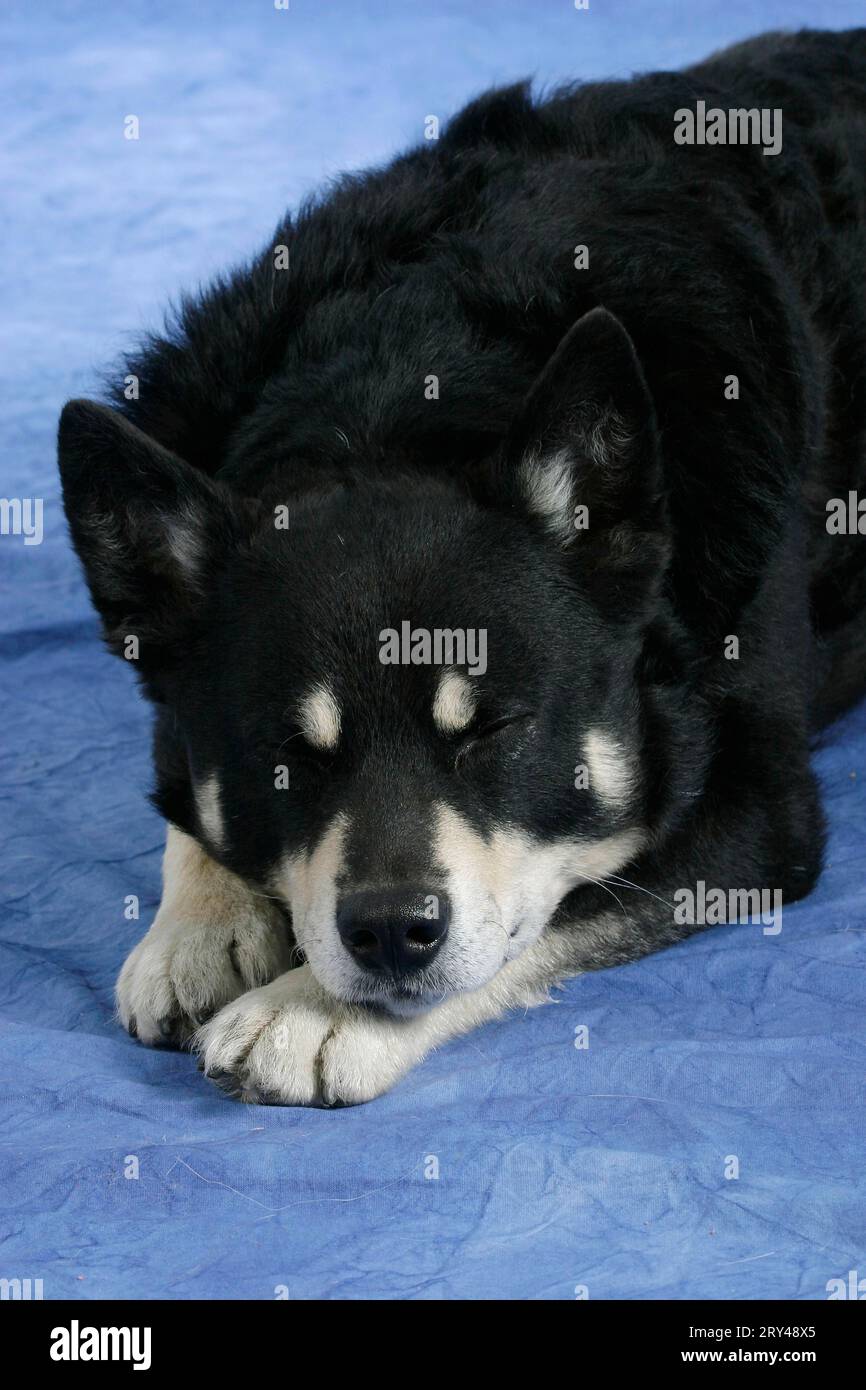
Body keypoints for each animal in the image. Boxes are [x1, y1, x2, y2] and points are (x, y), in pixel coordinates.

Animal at [57, 27, 861, 1100]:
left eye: (497, 730)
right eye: (283, 756)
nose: (393, 934)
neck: (403, 384)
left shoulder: (761, 806)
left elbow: (563, 897)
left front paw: (308, 1011)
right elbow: (184, 786)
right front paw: (200, 927)